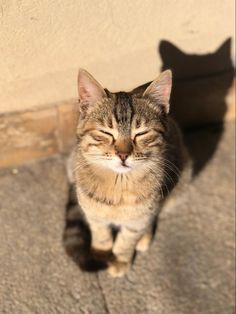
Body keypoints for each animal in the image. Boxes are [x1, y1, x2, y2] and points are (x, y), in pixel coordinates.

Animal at [64, 69, 190, 278]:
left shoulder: (138, 219)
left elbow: (126, 240)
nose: (123, 154)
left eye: (141, 133)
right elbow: (101, 236)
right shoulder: (93, 215)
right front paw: (101, 254)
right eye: (106, 133)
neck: (119, 184)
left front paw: (121, 260)